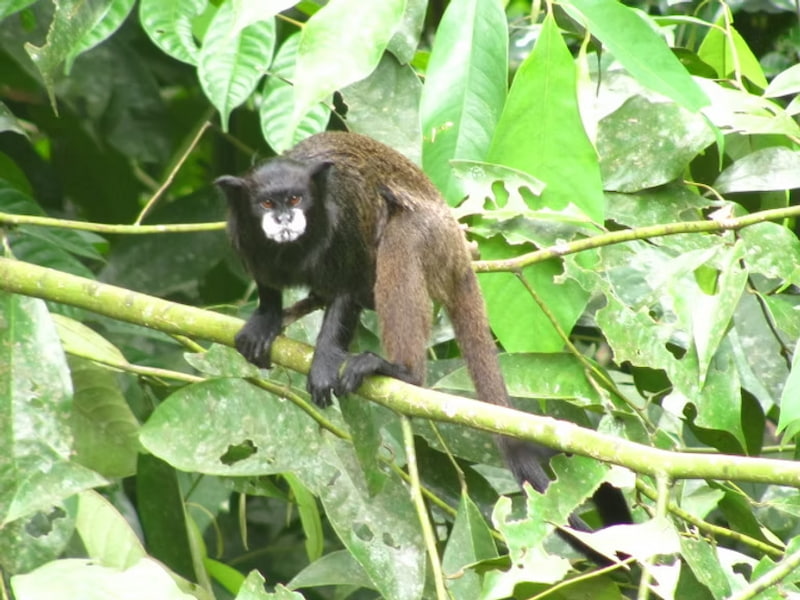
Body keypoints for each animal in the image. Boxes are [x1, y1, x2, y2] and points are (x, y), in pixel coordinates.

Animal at [216, 131, 631, 559]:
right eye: (267, 203)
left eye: (296, 199)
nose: (284, 219)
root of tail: (459, 250)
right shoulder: (242, 235)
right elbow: (268, 283)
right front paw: (266, 320)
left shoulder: (344, 224)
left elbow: (349, 283)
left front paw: (326, 361)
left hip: (433, 239)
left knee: (401, 242)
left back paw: (402, 372)